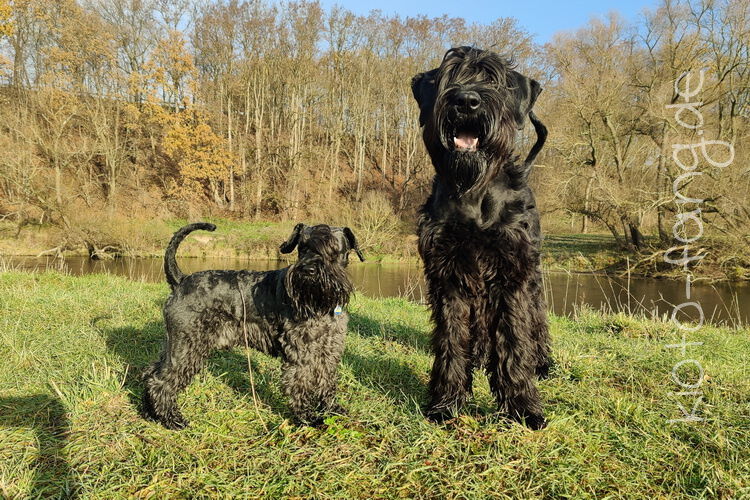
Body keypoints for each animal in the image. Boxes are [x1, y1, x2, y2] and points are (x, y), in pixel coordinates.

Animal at [142, 222, 364, 429]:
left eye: (333, 248)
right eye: (302, 248)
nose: (308, 270)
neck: (320, 304)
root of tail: (180, 280)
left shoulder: (328, 349)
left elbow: (327, 381)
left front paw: (332, 409)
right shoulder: (301, 352)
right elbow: (300, 382)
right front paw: (308, 417)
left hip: (175, 345)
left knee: (151, 372)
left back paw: (150, 413)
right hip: (186, 347)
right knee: (162, 381)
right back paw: (172, 420)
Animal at [411, 46, 550, 429]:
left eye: (494, 80)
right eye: (450, 75)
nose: (466, 101)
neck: (473, 192)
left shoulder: (511, 274)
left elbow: (515, 338)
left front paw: (523, 406)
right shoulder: (447, 274)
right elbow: (451, 339)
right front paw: (446, 402)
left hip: (533, 276)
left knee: (536, 318)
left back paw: (541, 361)